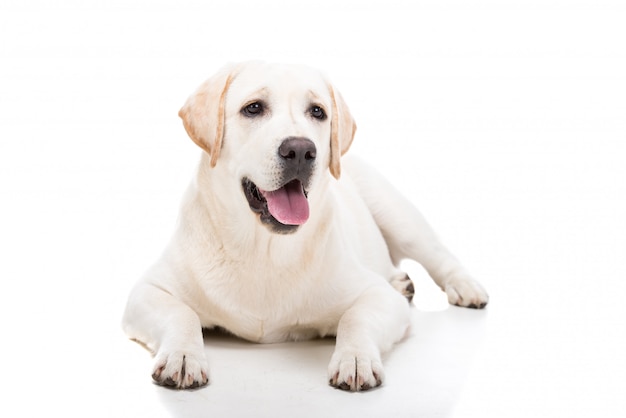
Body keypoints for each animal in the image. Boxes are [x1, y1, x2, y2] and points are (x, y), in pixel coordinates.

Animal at [123, 61, 488, 392]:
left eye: (317, 112)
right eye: (253, 108)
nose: (300, 149)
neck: (263, 250)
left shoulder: (378, 297)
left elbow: (355, 316)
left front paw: (355, 358)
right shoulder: (146, 291)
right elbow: (181, 314)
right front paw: (183, 356)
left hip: (398, 215)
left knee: (437, 254)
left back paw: (465, 287)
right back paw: (401, 280)